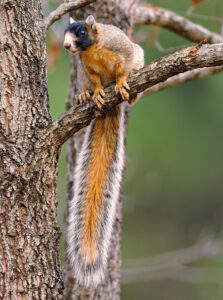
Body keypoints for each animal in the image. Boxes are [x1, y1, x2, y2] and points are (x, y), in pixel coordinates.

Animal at [63, 14, 144, 288]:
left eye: (81, 33)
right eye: (65, 32)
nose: (66, 46)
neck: (94, 50)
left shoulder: (123, 51)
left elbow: (122, 70)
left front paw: (121, 82)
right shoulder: (86, 69)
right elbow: (97, 81)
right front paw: (97, 92)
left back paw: (128, 92)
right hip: (80, 76)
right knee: (87, 86)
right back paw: (85, 95)